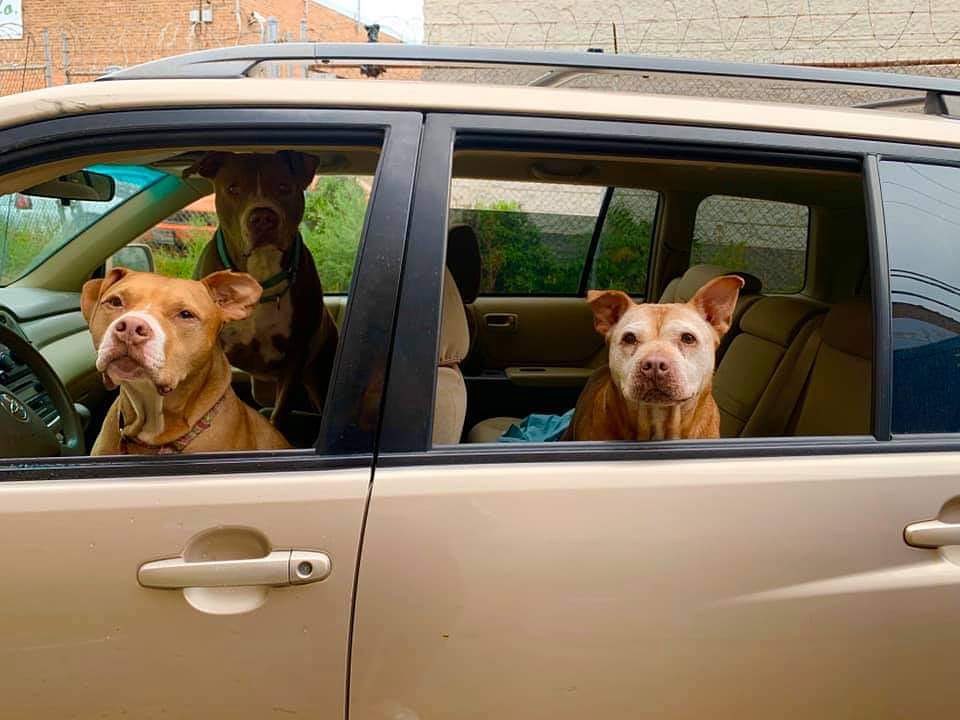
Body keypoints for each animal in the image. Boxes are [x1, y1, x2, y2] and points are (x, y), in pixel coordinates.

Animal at [186, 152, 340, 422]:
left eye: (284, 187)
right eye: (233, 188)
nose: (263, 217)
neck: (261, 272)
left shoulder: (295, 353)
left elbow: (280, 411)